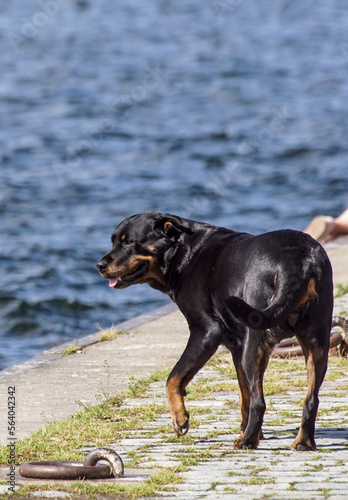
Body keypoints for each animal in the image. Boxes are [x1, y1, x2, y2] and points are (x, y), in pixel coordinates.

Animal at [96, 209, 334, 452]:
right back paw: (302, 442)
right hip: (316, 341)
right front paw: (250, 430)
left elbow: (174, 377)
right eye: (113, 240)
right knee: (310, 399)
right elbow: (243, 395)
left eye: (129, 242)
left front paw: (180, 419)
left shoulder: (205, 332)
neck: (183, 253)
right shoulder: (237, 346)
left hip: (256, 341)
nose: (100, 265)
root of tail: (301, 262)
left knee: (260, 401)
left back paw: (247, 442)